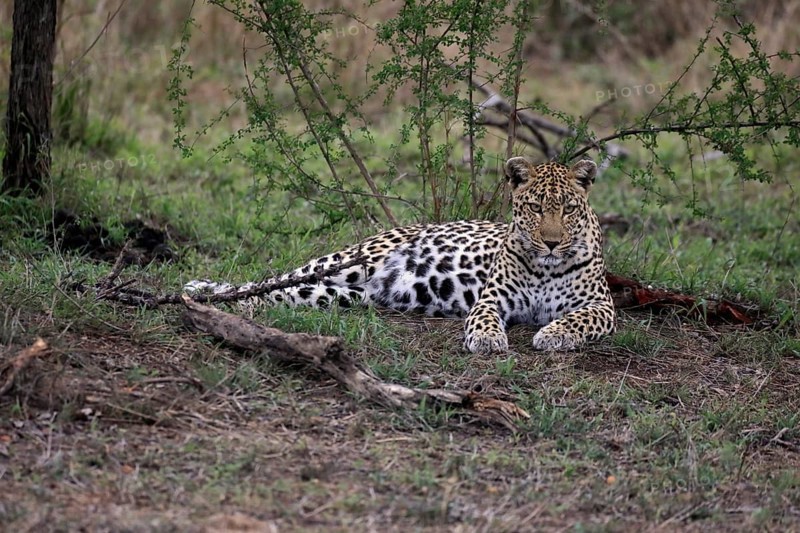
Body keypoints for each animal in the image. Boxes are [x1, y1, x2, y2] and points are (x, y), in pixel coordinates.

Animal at [185, 156, 616, 353]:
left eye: (569, 209)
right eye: (536, 208)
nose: (552, 242)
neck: (545, 268)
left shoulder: (602, 306)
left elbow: (577, 320)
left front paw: (553, 334)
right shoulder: (492, 299)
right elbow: (485, 319)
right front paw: (488, 340)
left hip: (343, 294)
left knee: (282, 292)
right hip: (350, 263)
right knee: (275, 278)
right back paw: (203, 290)